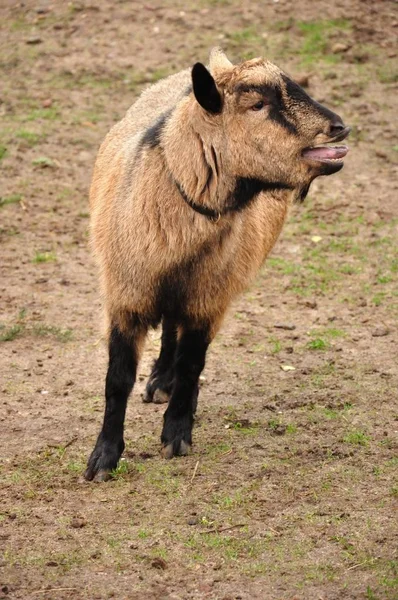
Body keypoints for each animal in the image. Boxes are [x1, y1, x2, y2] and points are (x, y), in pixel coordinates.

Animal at [84, 48, 348, 482]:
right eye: (257, 105)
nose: (339, 128)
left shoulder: (209, 298)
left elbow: (193, 363)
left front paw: (176, 435)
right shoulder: (126, 293)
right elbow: (117, 379)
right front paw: (103, 458)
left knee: (177, 333)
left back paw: (168, 384)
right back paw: (160, 380)